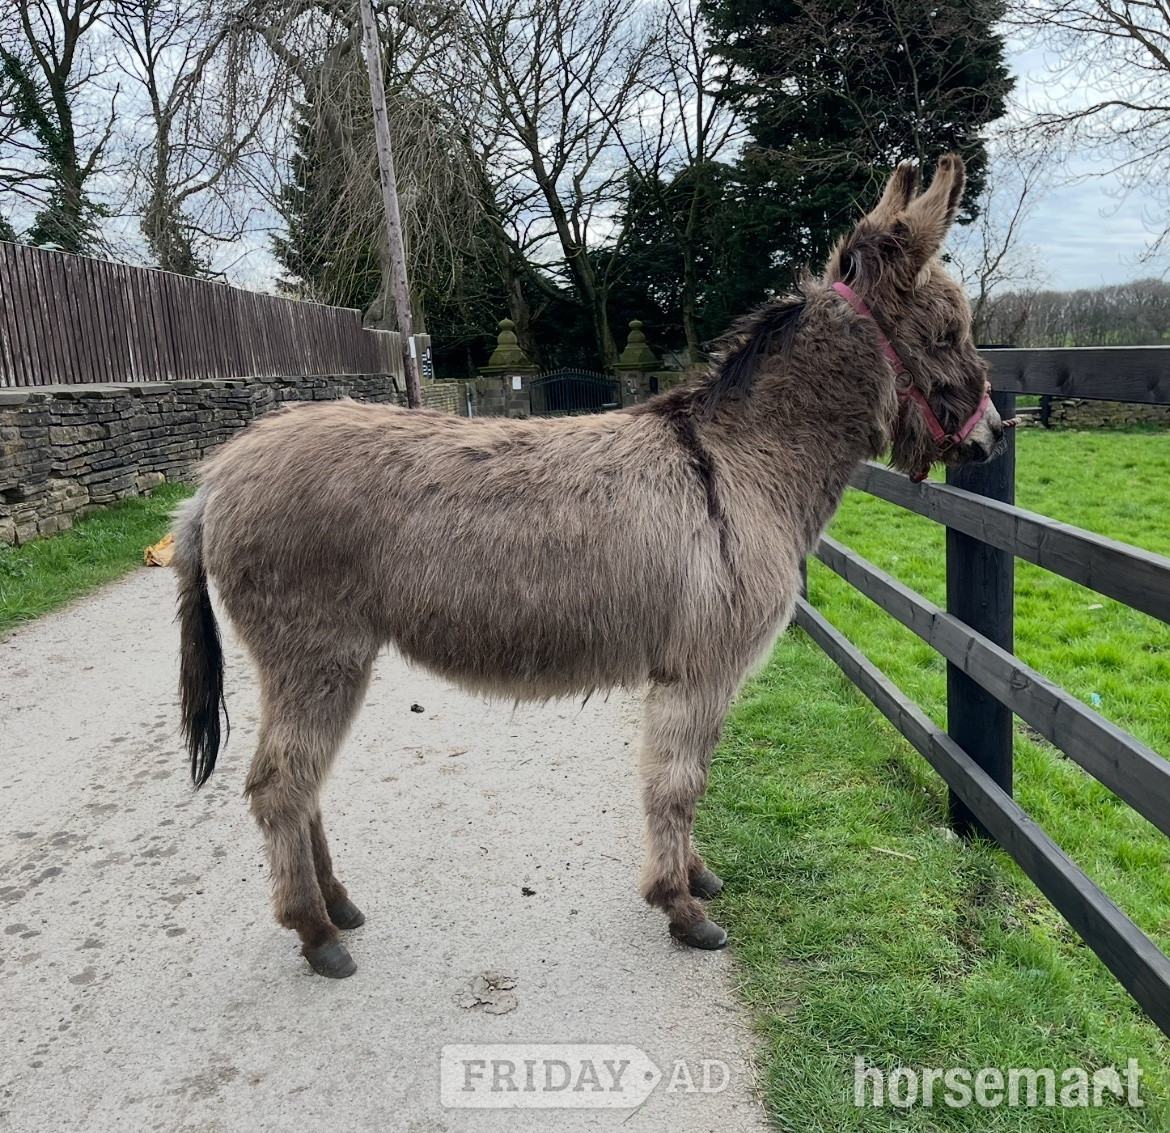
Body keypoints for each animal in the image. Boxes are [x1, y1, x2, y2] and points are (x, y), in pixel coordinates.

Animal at [174, 154, 1004, 978]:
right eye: (949, 331)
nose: (997, 434)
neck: (744, 460)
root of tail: (217, 476)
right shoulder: (701, 669)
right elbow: (677, 782)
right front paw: (681, 907)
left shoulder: (704, 673)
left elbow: (692, 776)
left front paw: (695, 875)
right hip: (318, 653)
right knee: (281, 785)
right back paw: (316, 932)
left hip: (322, 661)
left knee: (303, 781)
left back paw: (337, 904)